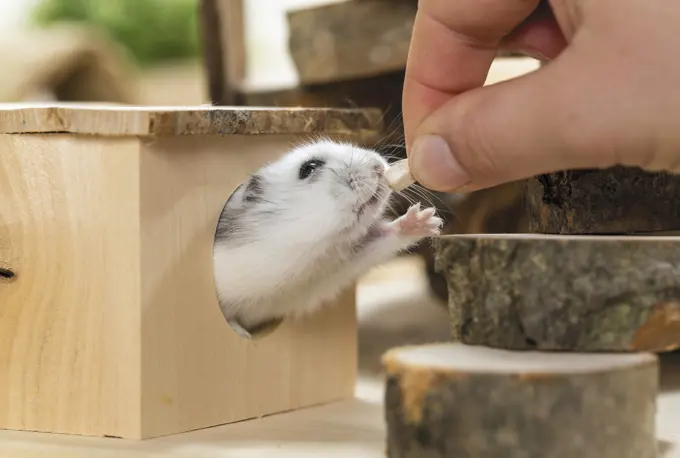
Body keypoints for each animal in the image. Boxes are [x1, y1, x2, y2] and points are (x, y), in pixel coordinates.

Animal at [214, 138, 446, 338]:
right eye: (309, 168)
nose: (378, 166)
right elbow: (229, 316)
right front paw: (242, 334)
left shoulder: (331, 271)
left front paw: (427, 220)